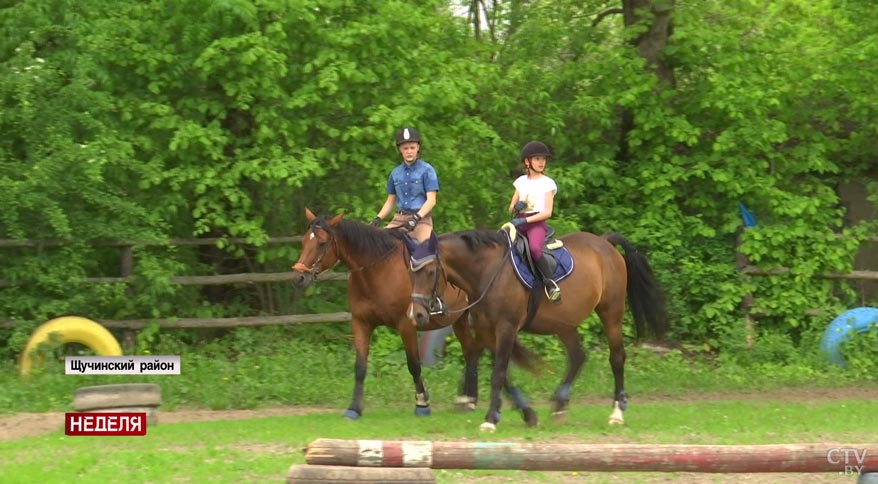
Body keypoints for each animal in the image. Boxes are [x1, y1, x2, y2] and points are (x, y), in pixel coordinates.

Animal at [292, 210, 540, 422]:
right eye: (304, 241)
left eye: (322, 243)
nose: (298, 278)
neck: (377, 270)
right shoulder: (360, 323)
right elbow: (360, 366)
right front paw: (354, 408)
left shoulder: (406, 325)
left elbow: (413, 365)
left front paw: (422, 403)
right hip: (461, 320)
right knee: (472, 352)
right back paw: (468, 399)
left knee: (488, 355)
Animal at [404, 229, 668, 432]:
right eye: (411, 274)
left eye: (430, 272)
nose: (416, 315)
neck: (487, 272)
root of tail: (604, 243)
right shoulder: (487, 332)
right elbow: (504, 377)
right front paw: (527, 414)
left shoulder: (506, 329)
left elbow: (498, 374)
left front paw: (490, 420)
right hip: (563, 323)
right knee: (578, 356)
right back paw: (560, 406)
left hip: (611, 312)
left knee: (617, 358)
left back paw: (616, 412)